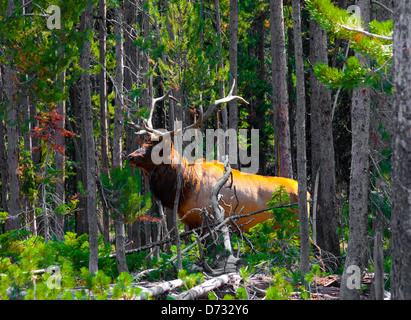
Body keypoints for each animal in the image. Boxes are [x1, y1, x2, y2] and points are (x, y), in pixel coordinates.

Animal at [128, 82, 308, 232]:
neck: (188, 187)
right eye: (144, 143)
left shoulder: (209, 220)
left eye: (157, 148)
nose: (130, 157)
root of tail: (308, 194)